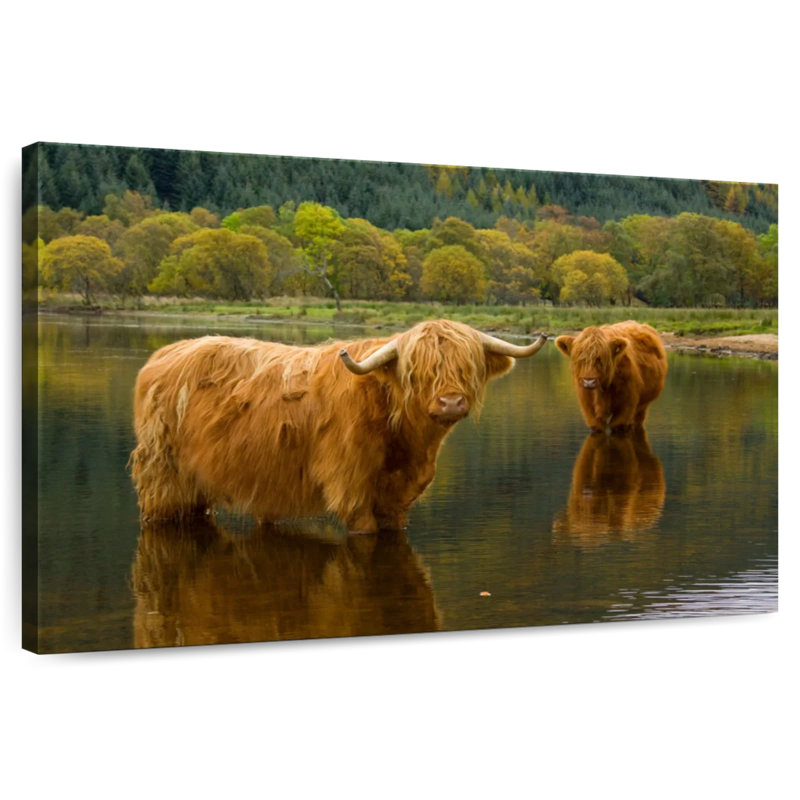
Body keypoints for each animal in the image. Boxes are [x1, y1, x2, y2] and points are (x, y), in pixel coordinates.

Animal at [130, 319, 547, 533]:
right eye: (418, 371)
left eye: (467, 366)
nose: (451, 402)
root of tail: (164, 354)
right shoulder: (351, 487)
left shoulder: (397, 498)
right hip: (162, 478)